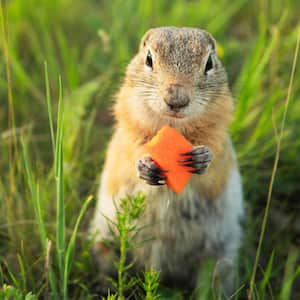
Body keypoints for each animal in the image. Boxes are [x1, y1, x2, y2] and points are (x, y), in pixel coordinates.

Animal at [91, 26, 244, 296]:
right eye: (149, 59)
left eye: (209, 63)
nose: (176, 98)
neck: (173, 128)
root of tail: (159, 270)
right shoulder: (128, 132)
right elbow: (133, 152)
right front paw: (145, 166)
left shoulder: (220, 139)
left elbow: (214, 161)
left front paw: (202, 158)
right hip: (106, 243)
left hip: (219, 257)